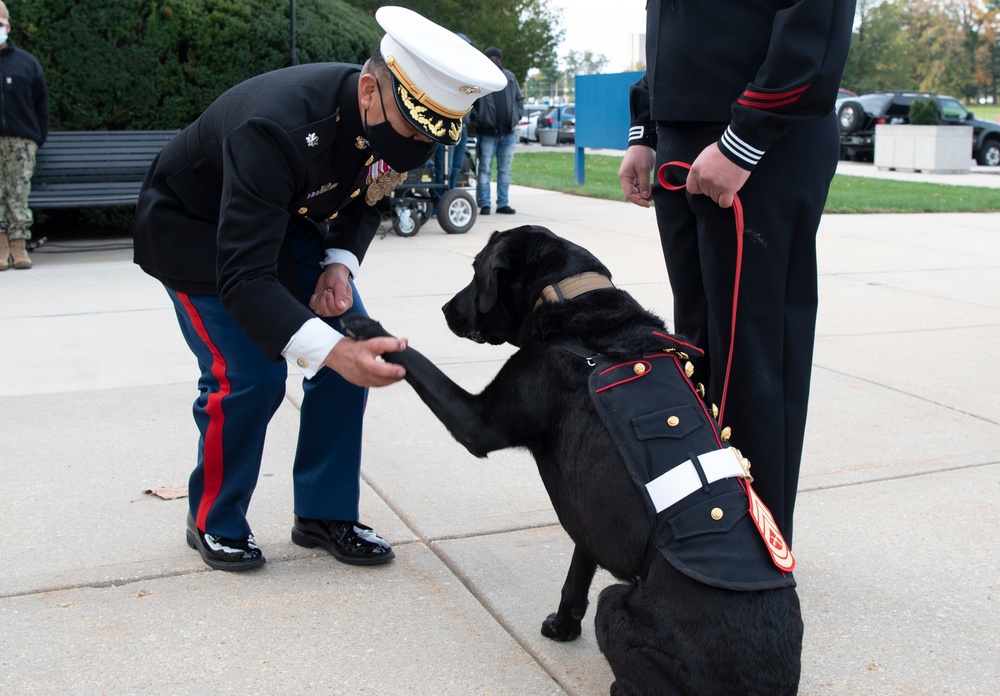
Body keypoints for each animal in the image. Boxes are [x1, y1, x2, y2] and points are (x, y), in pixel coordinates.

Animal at [344, 226, 804, 692]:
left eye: (476, 269)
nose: (445, 309)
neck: (569, 301)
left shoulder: (478, 422)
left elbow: (417, 361)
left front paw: (368, 327)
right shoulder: (589, 512)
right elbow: (576, 574)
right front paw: (563, 627)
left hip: (615, 603)